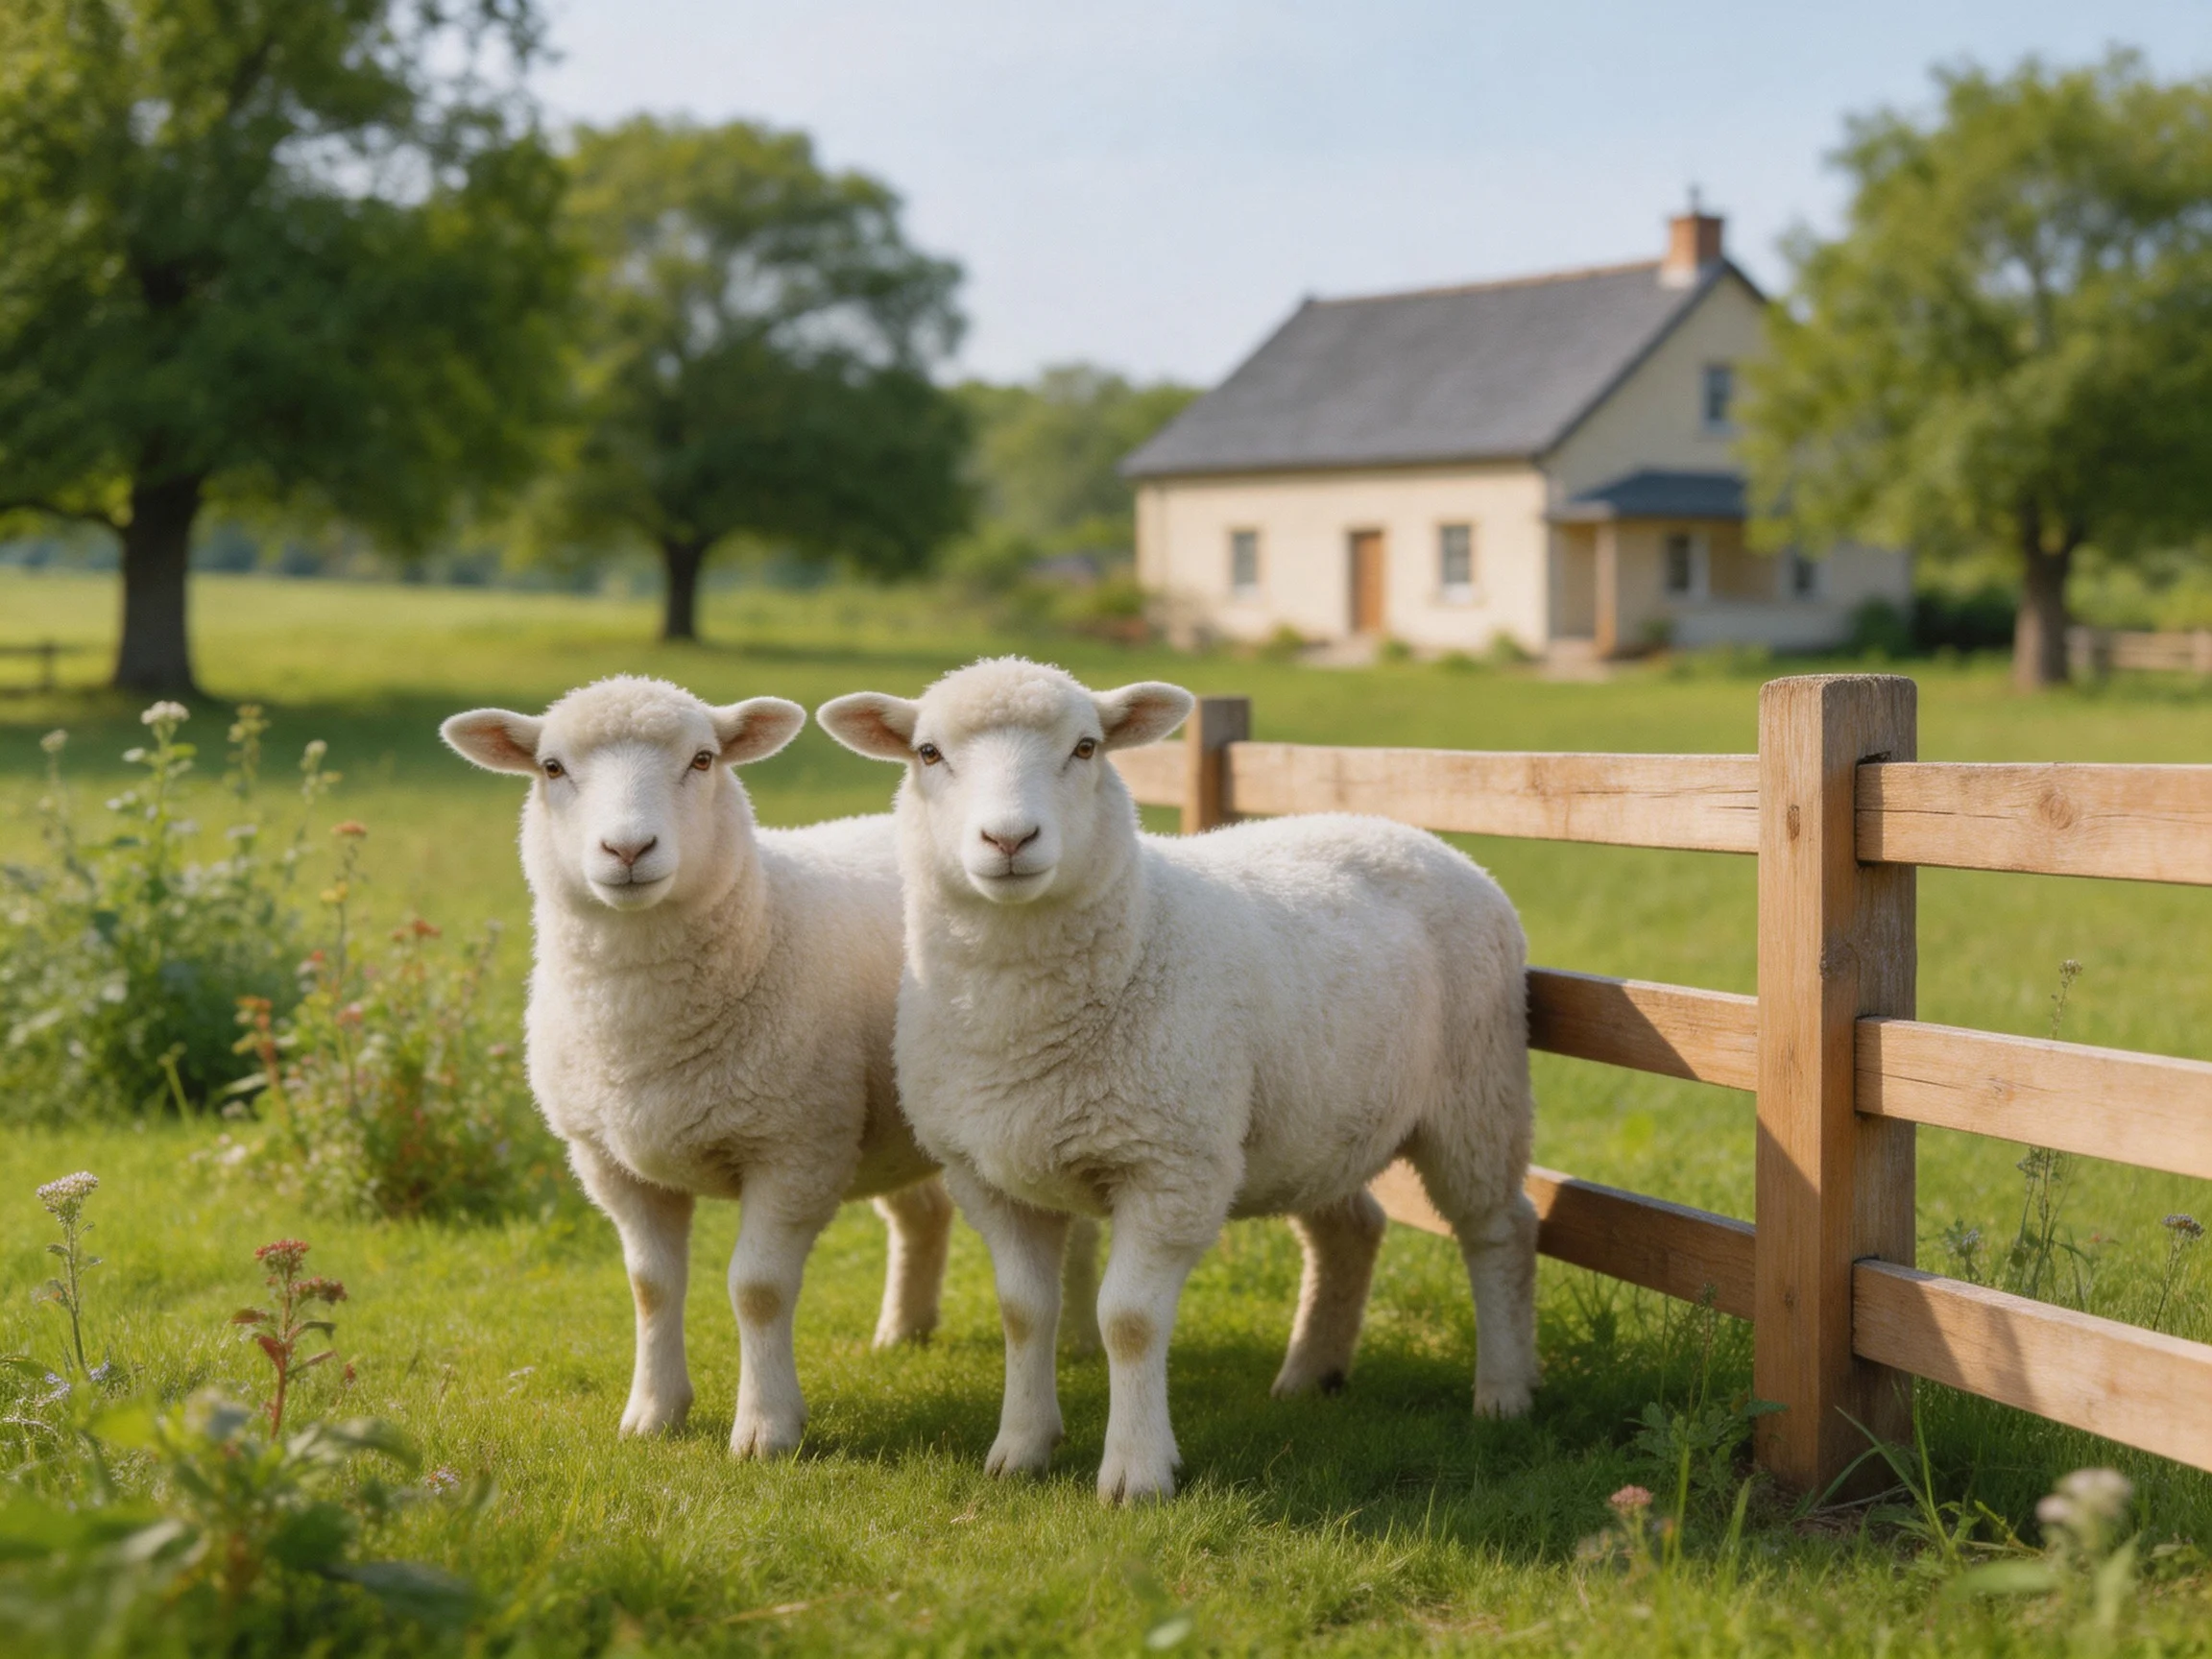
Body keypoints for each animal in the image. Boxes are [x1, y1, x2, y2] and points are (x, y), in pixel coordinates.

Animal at [442, 675, 1098, 1459]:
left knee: (1076, 1229)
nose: (628, 849)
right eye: (551, 768)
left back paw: (1079, 1341)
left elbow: (757, 1289)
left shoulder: (795, 1149)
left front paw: (765, 1428)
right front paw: (653, 1413)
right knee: (923, 1212)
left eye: (702, 760)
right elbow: (650, 1286)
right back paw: (902, 1331)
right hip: (889, 1122)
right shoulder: (610, 1163)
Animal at [819, 658, 1537, 1503]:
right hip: (1318, 1119)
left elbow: (1127, 1320)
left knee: (1499, 1229)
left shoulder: (1170, 1166)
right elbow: (1023, 1312)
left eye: (1087, 747)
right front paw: (1020, 1449)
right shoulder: (988, 1175)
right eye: (928, 753)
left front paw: (1136, 1473)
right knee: (1352, 1230)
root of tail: (1400, 827)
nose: (1009, 839)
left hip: (1476, 1093)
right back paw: (1310, 1374)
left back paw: (1504, 1392)